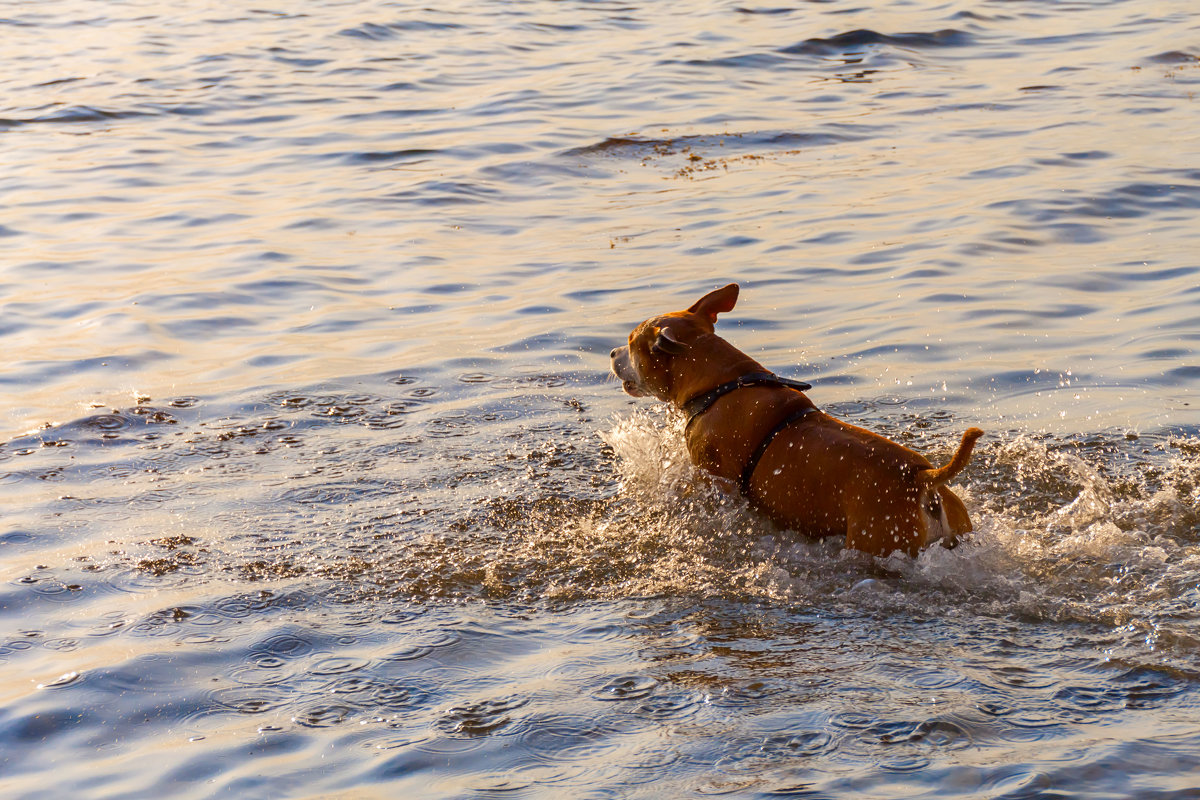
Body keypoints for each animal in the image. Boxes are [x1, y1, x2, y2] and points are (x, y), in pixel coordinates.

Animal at [609, 286, 984, 556]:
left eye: (630, 343)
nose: (611, 353)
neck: (721, 383)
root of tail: (921, 479)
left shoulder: (715, 480)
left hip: (878, 539)